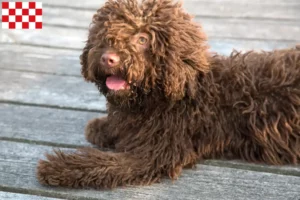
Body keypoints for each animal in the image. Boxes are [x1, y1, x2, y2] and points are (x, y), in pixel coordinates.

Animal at [37, 0, 300, 189]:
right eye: (106, 34)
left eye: (142, 39)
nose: (108, 58)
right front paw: (102, 126)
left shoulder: (154, 153)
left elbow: (102, 164)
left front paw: (57, 167)